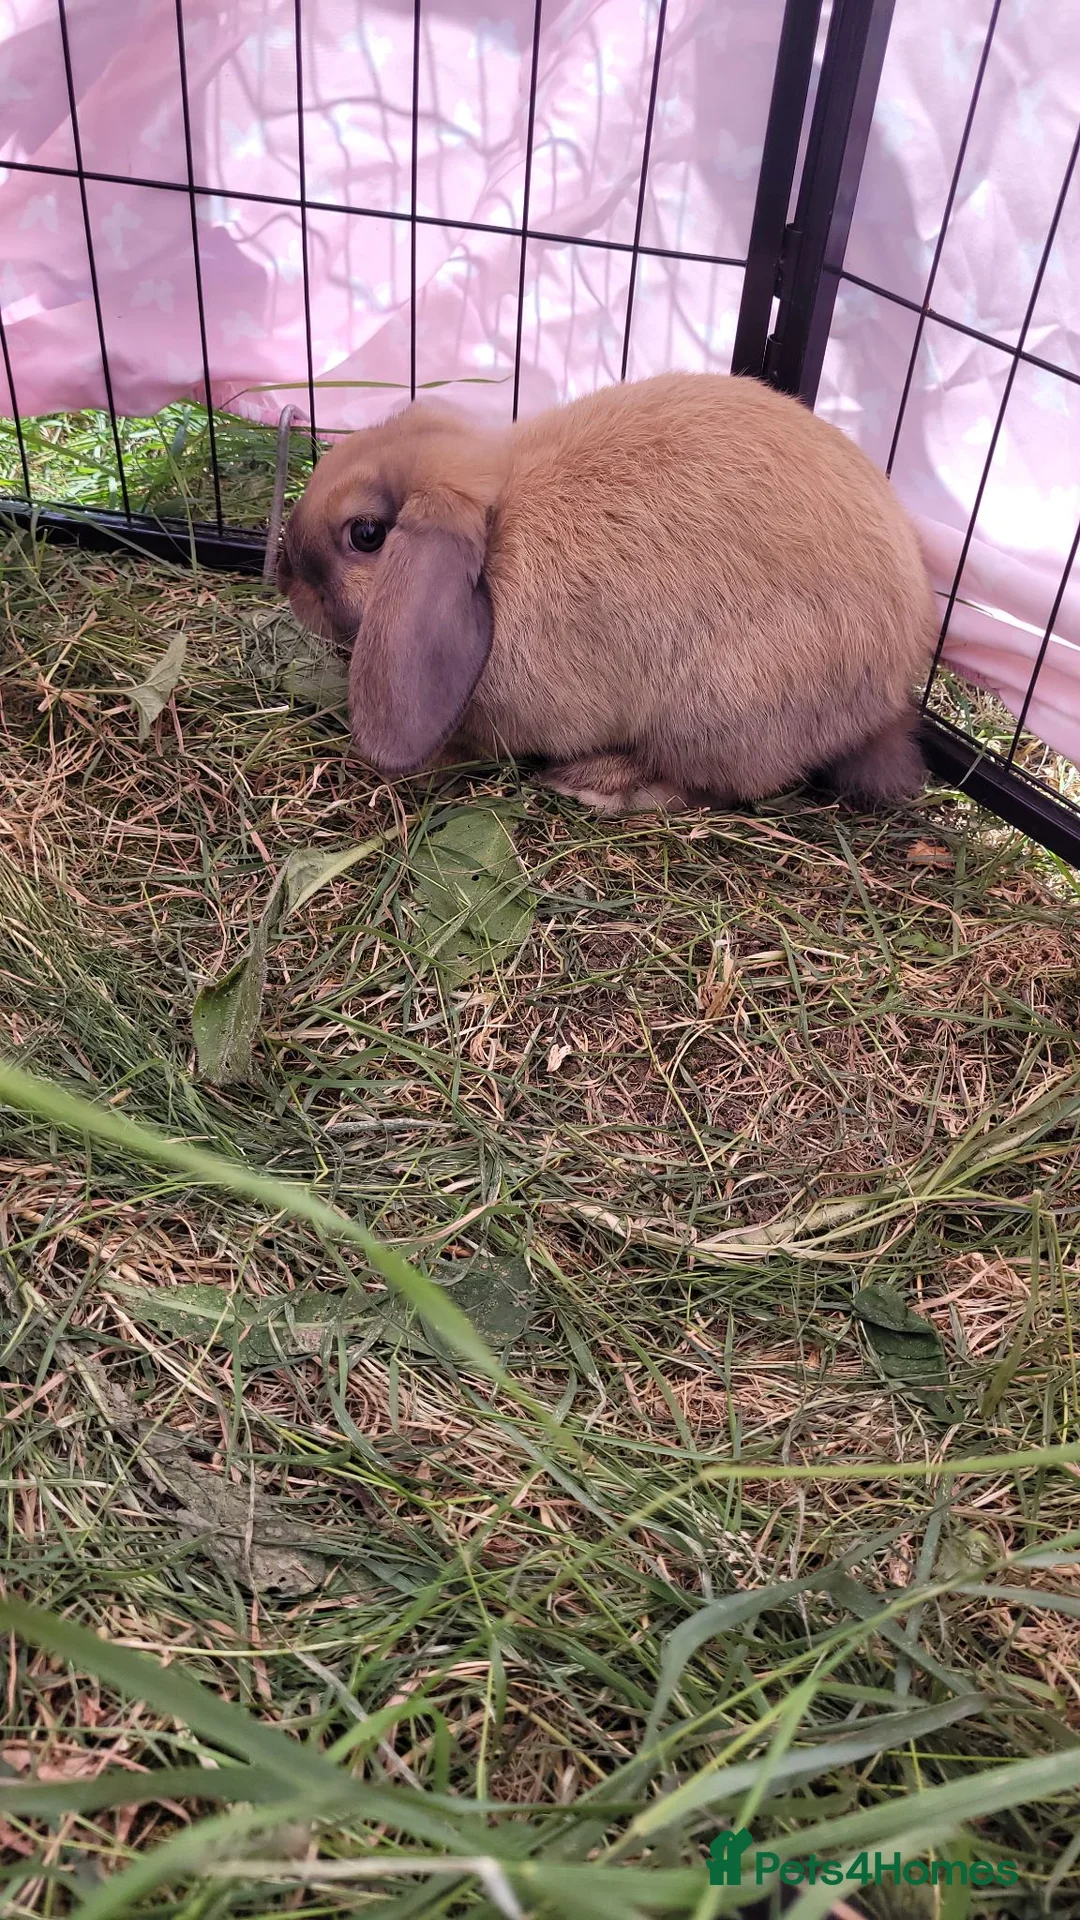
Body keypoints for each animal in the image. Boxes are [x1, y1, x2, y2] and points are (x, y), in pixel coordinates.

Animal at [276, 371, 936, 815]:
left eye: (366, 534)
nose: (284, 575)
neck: (496, 539)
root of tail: (888, 695)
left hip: (718, 709)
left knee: (711, 785)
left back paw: (596, 782)